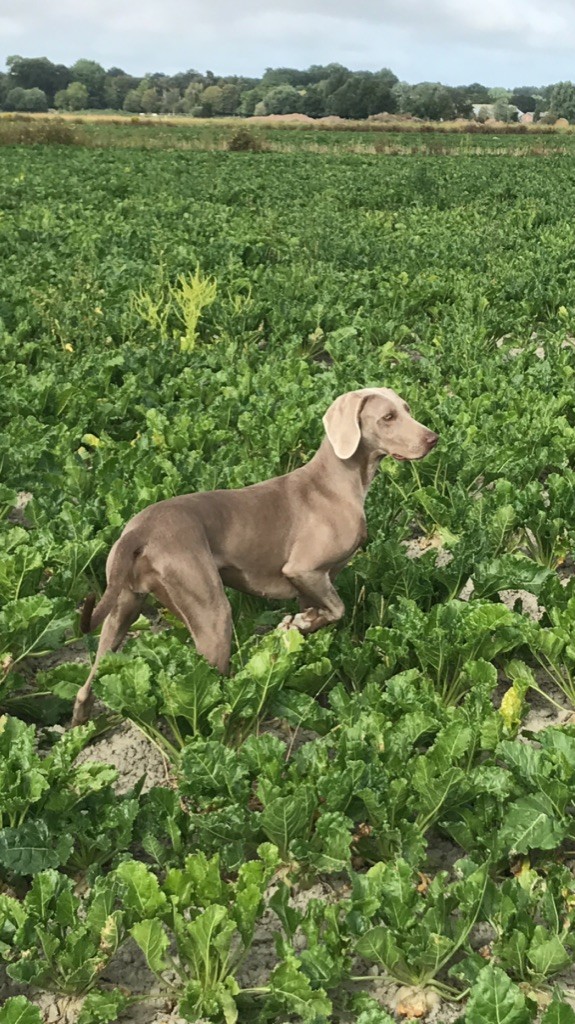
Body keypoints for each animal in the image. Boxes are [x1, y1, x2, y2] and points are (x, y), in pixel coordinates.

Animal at [73, 385, 435, 729]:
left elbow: (320, 618)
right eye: (388, 417)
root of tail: (138, 532)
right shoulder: (305, 570)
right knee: (212, 684)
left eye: (407, 409)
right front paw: (296, 624)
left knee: (89, 680)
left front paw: (298, 627)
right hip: (210, 610)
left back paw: (81, 723)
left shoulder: (310, 587)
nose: (433, 438)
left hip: (123, 607)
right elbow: (338, 609)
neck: (338, 481)